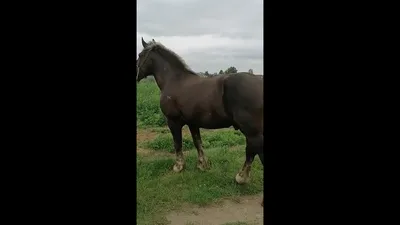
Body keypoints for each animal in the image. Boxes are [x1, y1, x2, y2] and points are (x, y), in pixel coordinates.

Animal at [136, 37, 264, 207]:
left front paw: (179, 166)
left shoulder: (173, 121)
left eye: (140, 55)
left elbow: (178, 143)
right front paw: (202, 165)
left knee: (253, 150)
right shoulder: (193, 123)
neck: (175, 81)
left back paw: (241, 178)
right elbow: (198, 143)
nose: (135, 75)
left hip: (251, 130)